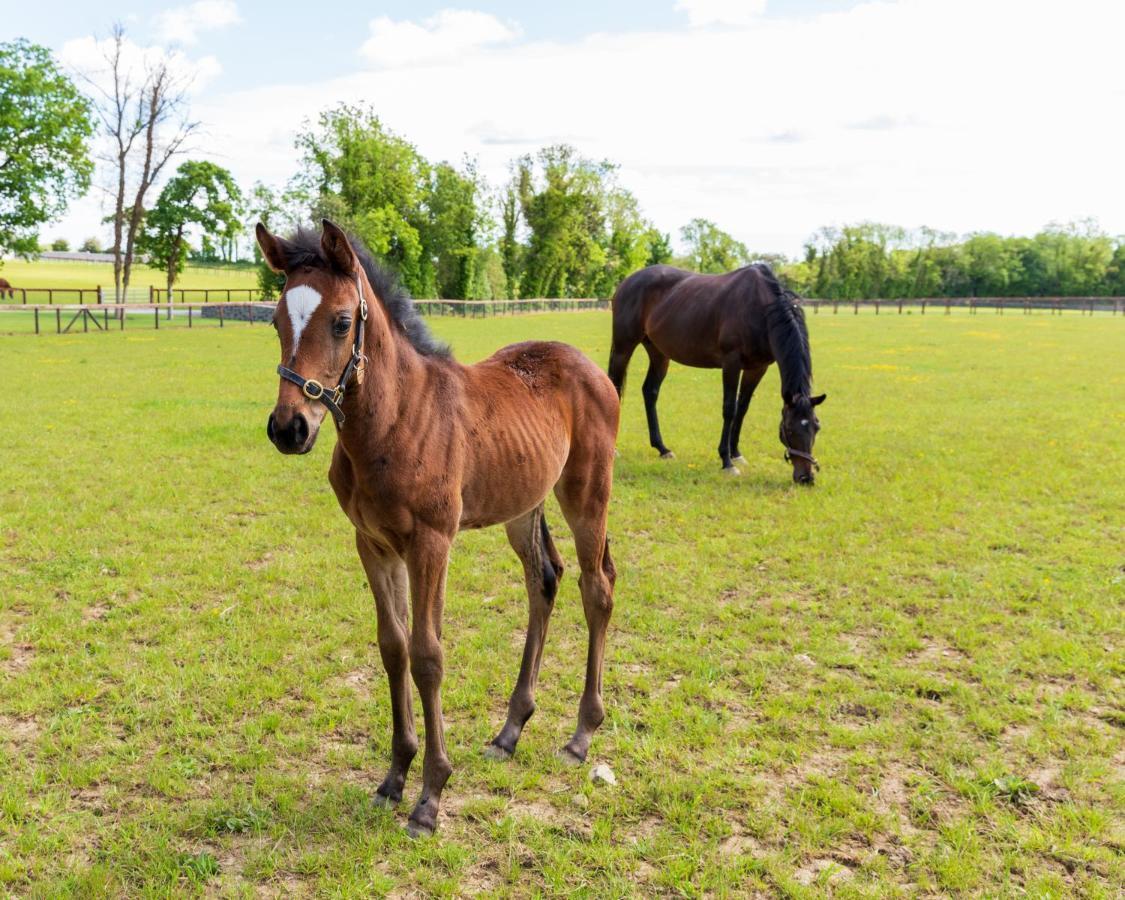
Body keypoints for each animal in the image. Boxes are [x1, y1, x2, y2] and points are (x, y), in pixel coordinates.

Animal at [257, 221, 621, 841]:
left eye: (342, 321)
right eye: (278, 320)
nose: (289, 428)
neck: (394, 420)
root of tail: (590, 366)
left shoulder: (431, 543)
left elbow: (428, 655)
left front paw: (430, 796)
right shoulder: (374, 543)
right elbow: (393, 646)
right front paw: (394, 777)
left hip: (586, 496)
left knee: (595, 588)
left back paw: (580, 735)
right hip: (523, 504)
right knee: (544, 581)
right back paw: (510, 731)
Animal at [612, 263, 823, 481]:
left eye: (816, 426)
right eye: (789, 429)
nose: (806, 478)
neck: (760, 309)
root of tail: (628, 281)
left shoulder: (757, 368)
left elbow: (742, 408)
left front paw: (736, 453)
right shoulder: (731, 363)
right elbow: (729, 409)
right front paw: (727, 461)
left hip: (659, 353)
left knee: (650, 392)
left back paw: (662, 448)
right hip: (623, 347)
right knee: (614, 386)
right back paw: (615, 449)